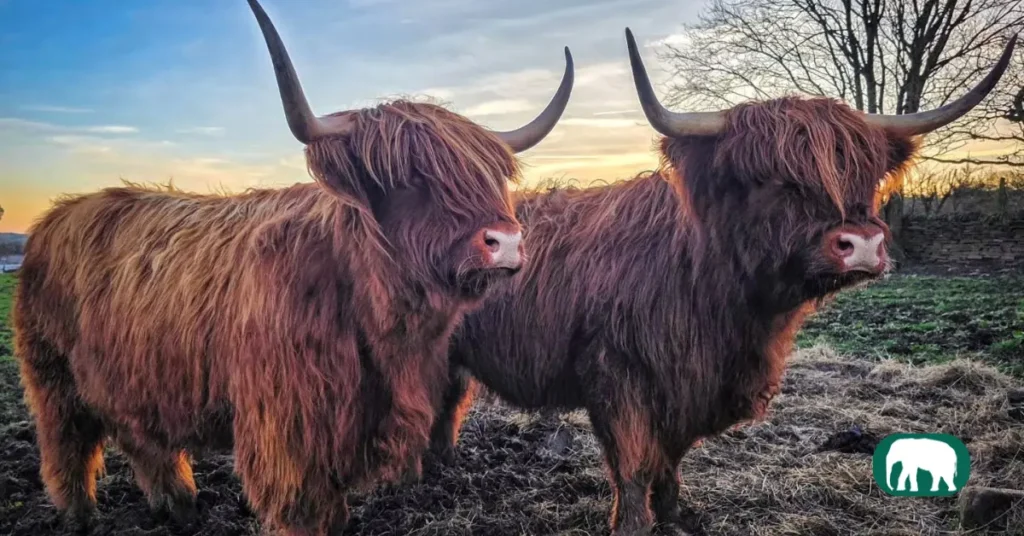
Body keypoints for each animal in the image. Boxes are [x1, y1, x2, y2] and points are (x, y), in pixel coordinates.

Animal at [11, 1, 574, 534]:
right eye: (409, 176)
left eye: (491, 175)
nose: (506, 243)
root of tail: (57, 215)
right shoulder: (288, 429)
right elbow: (306, 509)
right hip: (52, 373)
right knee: (66, 445)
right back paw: (82, 517)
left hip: (131, 375)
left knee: (140, 436)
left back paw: (180, 506)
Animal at [424, 28, 1017, 536]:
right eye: (773, 179)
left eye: (864, 174)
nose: (863, 245)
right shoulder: (618, 375)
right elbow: (634, 463)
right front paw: (634, 523)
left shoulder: (694, 387)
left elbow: (671, 459)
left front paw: (677, 513)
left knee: (448, 399)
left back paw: (444, 467)